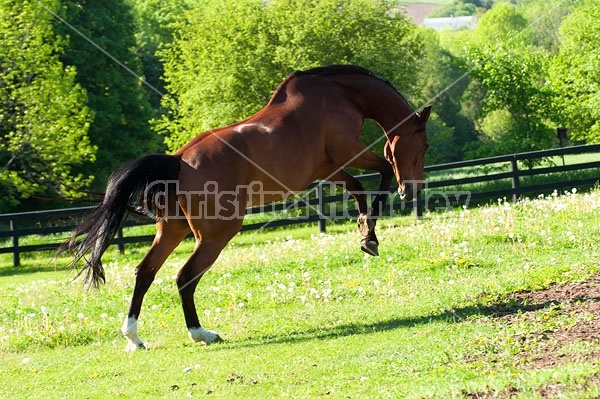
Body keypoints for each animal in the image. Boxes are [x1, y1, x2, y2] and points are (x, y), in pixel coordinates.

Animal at [57, 64, 432, 352]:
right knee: (184, 278)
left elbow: (359, 189)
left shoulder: (329, 169)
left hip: (173, 231)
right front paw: (370, 235)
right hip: (216, 235)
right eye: (424, 145)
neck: (340, 94)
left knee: (145, 272)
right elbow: (381, 173)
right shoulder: (346, 153)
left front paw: (365, 233)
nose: (412, 191)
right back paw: (202, 334)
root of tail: (178, 161)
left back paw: (134, 338)